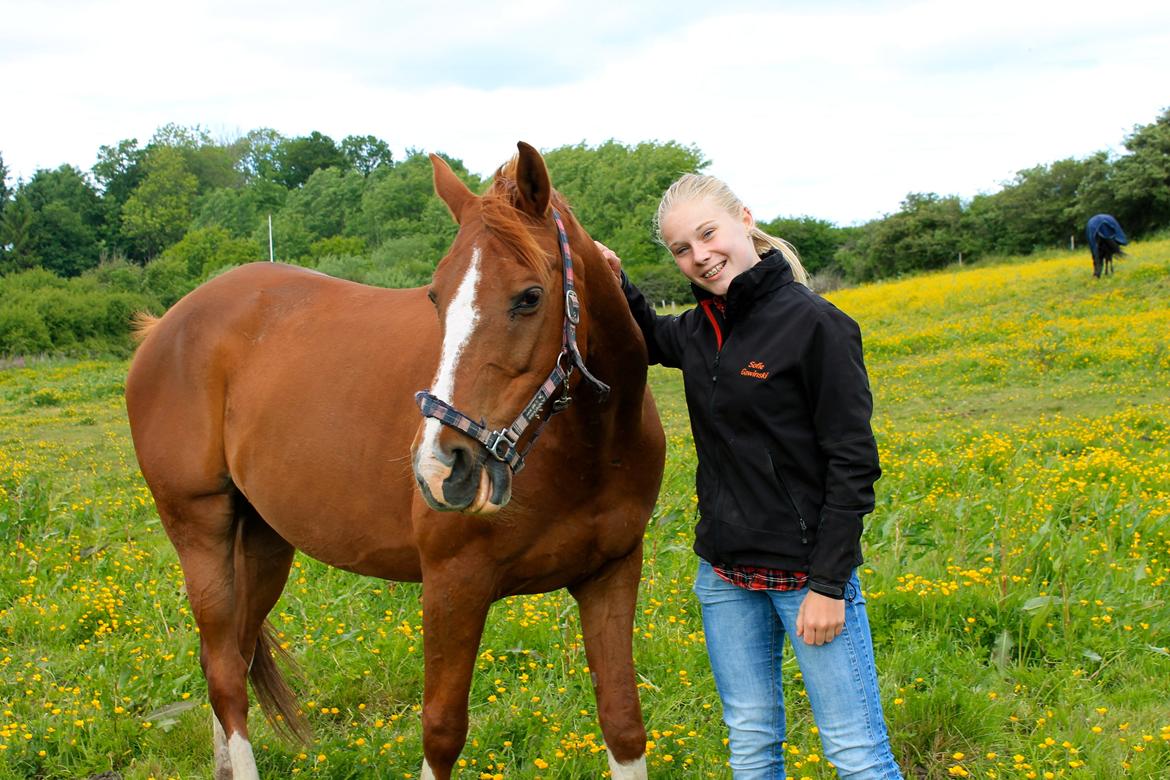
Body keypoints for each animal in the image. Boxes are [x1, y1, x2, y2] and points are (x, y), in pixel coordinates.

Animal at [128, 143, 669, 776]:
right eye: (436, 296)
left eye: (530, 297)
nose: (442, 468)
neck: (589, 451)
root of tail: (164, 327)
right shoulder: (453, 584)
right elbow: (442, 732)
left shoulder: (611, 574)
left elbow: (623, 722)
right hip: (200, 529)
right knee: (223, 675)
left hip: (263, 541)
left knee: (232, 656)